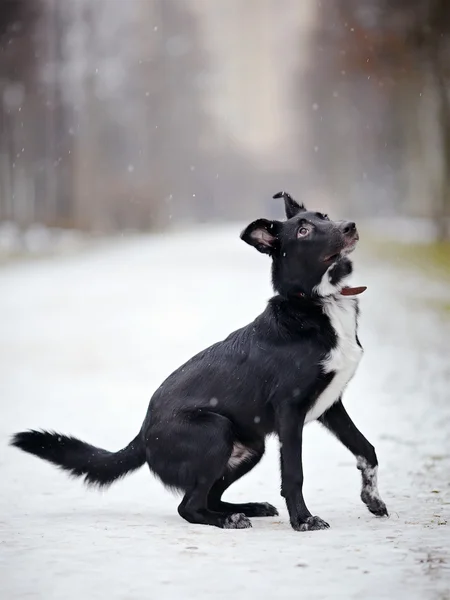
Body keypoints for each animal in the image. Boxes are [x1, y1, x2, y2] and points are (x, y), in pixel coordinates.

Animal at [12, 192, 388, 528]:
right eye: (304, 231)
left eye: (324, 216)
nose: (349, 226)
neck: (315, 302)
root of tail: (142, 436)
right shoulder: (290, 410)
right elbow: (294, 473)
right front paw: (304, 520)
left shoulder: (331, 404)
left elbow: (366, 448)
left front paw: (373, 499)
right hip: (216, 432)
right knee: (189, 506)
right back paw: (228, 519)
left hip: (250, 447)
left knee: (207, 497)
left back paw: (246, 508)